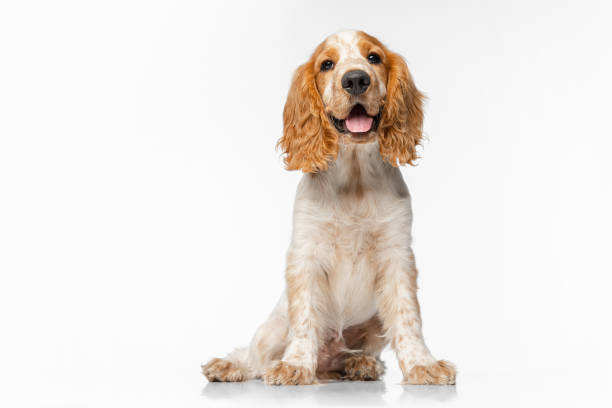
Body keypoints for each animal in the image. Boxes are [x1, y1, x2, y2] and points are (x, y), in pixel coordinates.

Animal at [203, 31, 456, 386]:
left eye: (374, 58)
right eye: (327, 64)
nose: (356, 79)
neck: (355, 178)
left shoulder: (397, 254)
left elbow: (408, 319)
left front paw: (423, 365)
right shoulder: (305, 255)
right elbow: (305, 318)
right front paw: (295, 365)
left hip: (373, 323)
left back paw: (361, 364)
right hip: (272, 328)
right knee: (255, 356)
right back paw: (229, 366)